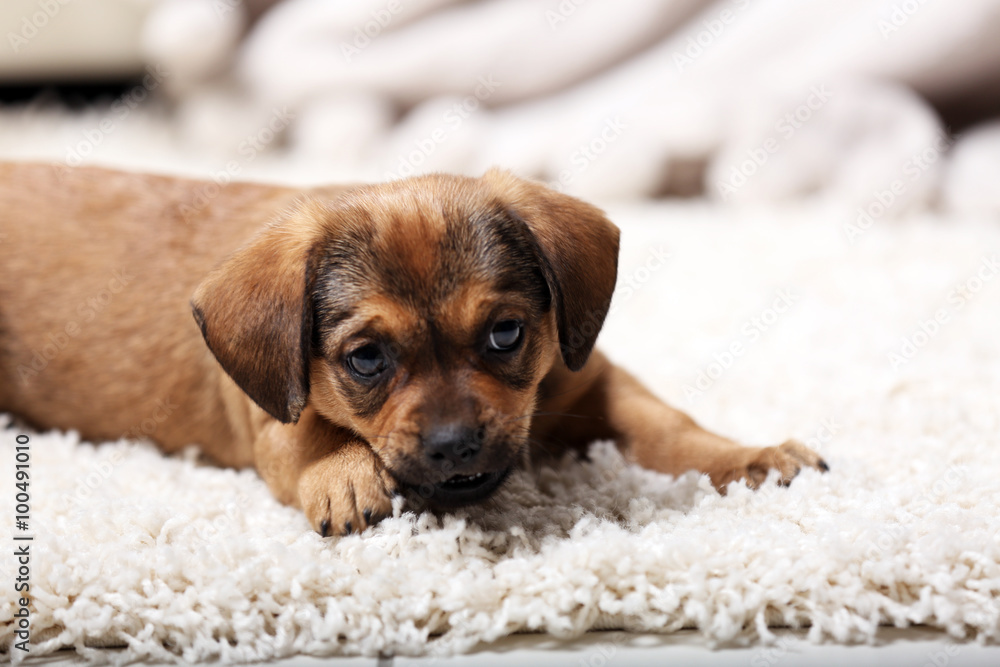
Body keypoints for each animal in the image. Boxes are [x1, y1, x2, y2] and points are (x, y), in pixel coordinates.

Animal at [0, 163, 828, 536]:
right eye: (365, 358)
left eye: (506, 333)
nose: (456, 444)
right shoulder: (271, 419)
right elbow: (311, 432)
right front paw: (344, 477)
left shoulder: (589, 379)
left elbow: (669, 425)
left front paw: (748, 456)